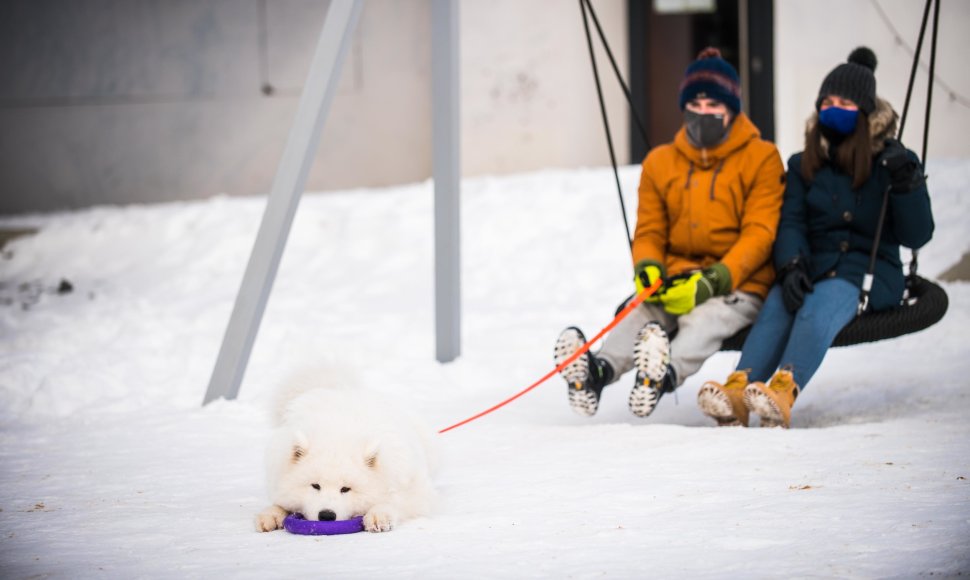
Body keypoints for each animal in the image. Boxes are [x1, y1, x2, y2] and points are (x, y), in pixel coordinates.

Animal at [253, 370, 434, 532]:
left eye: (345, 489)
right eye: (315, 485)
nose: (326, 515)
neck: (338, 434)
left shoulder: (416, 492)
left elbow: (394, 502)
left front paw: (379, 516)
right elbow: (280, 502)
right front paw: (271, 515)